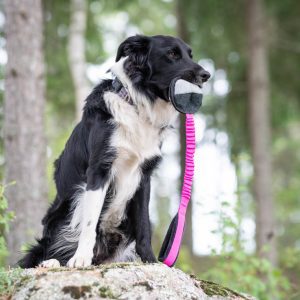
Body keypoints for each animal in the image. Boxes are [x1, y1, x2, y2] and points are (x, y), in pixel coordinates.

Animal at [19, 34, 210, 268]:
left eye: (190, 55)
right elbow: (90, 222)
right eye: (172, 54)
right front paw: (81, 258)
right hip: (62, 213)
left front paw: (149, 260)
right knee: (44, 251)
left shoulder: (143, 177)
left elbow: (143, 224)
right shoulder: (99, 170)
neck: (136, 106)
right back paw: (53, 262)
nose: (206, 75)